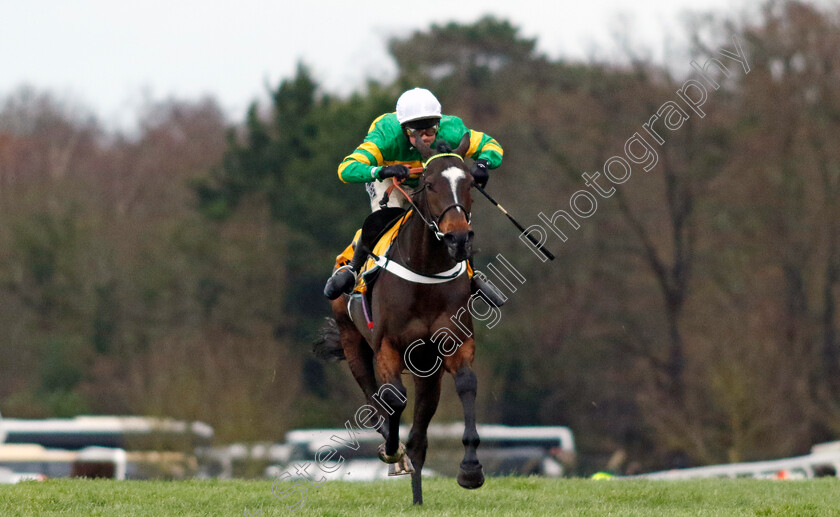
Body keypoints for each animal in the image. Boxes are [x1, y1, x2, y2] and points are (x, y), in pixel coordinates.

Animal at [316, 131, 486, 502]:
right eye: (429, 183)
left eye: (469, 181)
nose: (458, 237)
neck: (425, 272)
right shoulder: (387, 347)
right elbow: (393, 397)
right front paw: (393, 451)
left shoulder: (453, 344)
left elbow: (467, 383)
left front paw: (470, 469)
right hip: (352, 340)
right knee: (372, 396)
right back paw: (395, 453)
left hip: (427, 369)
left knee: (420, 433)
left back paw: (417, 491)